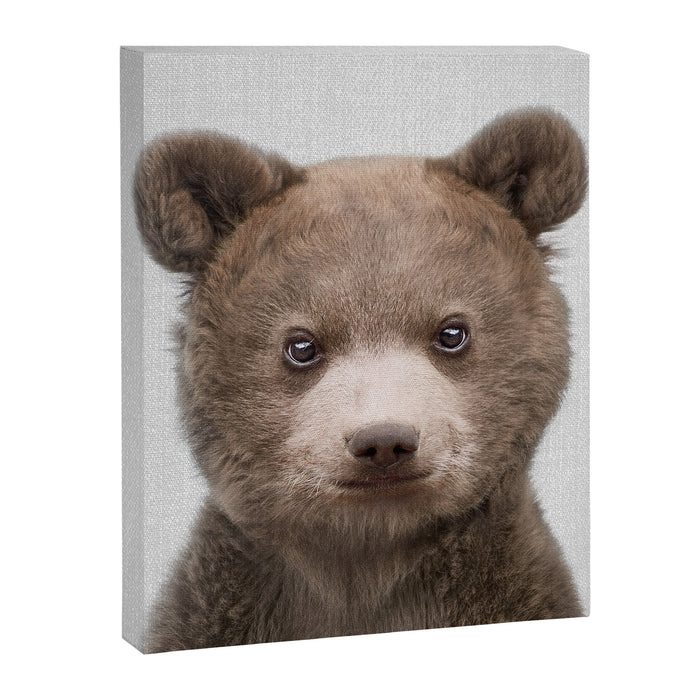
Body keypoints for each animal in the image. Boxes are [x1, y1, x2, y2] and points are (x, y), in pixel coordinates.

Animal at [134, 109, 587, 652]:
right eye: (302, 345)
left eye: (451, 332)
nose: (384, 441)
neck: (368, 562)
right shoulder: (221, 605)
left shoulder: (511, 585)